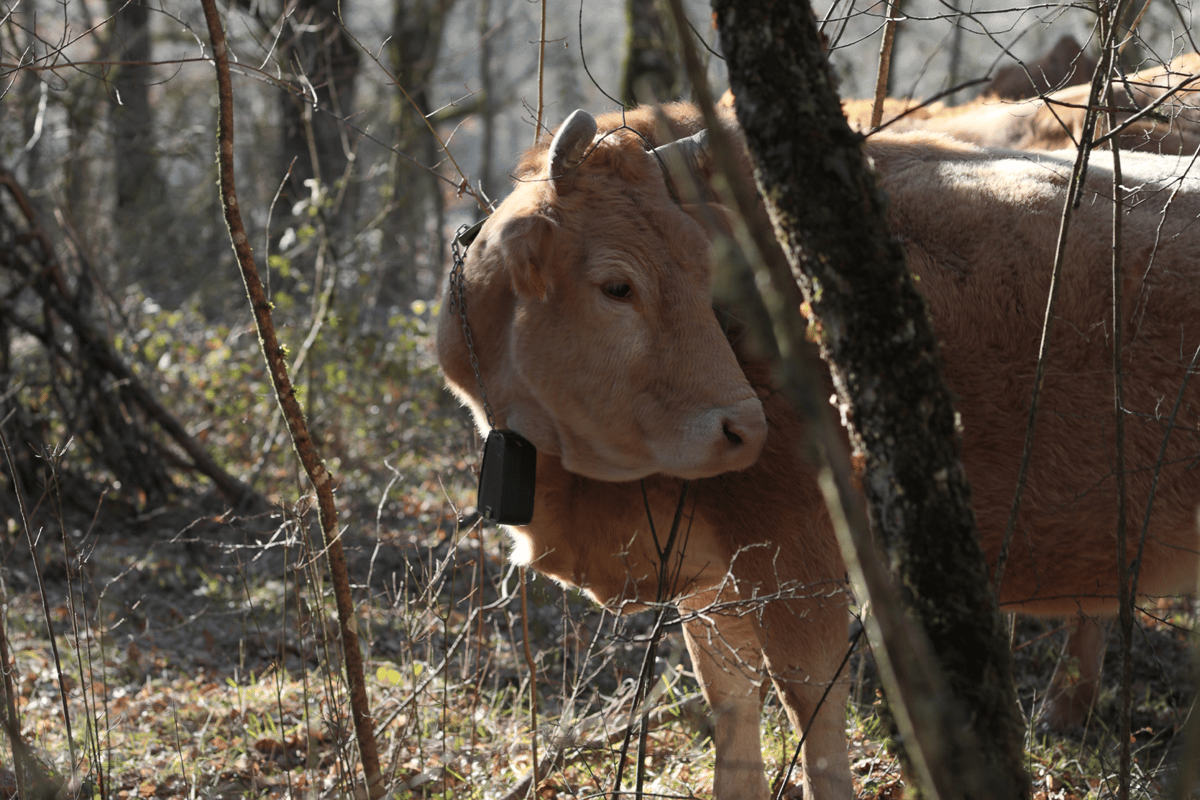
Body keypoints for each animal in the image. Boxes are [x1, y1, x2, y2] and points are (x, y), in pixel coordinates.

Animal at [439, 101, 1200, 800]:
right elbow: (733, 719)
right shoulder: (711, 584)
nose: (743, 429)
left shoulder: (799, 565)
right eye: (617, 285)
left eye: (707, 275)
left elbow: (815, 720)